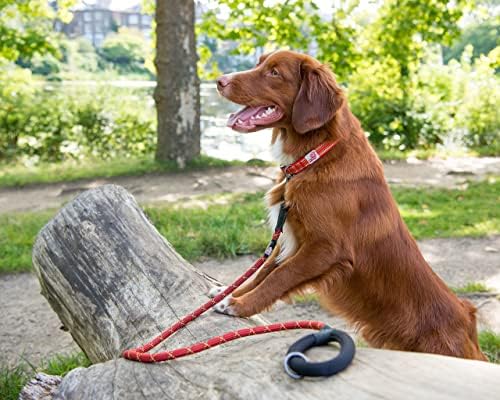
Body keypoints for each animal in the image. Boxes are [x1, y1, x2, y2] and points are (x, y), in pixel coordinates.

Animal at [210, 50, 484, 362]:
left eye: (275, 73)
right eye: (259, 63)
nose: (219, 81)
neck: (315, 157)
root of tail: (468, 325)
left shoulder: (326, 249)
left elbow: (279, 277)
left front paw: (238, 305)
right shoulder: (289, 240)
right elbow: (264, 271)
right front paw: (228, 292)